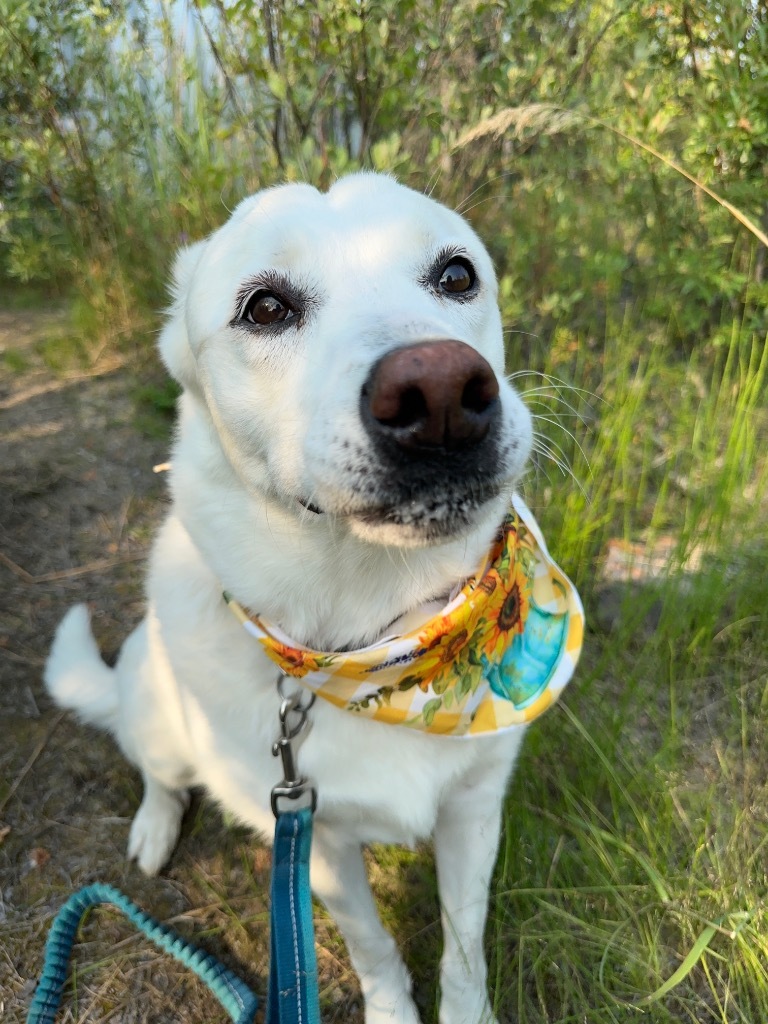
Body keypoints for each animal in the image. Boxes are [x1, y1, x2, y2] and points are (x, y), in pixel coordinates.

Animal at [46, 174, 581, 1024]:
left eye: (457, 274)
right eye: (265, 307)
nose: (440, 390)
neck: (375, 635)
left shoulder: (473, 810)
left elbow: (464, 950)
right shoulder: (317, 842)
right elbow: (374, 949)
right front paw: (393, 1012)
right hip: (156, 712)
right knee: (159, 773)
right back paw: (155, 828)